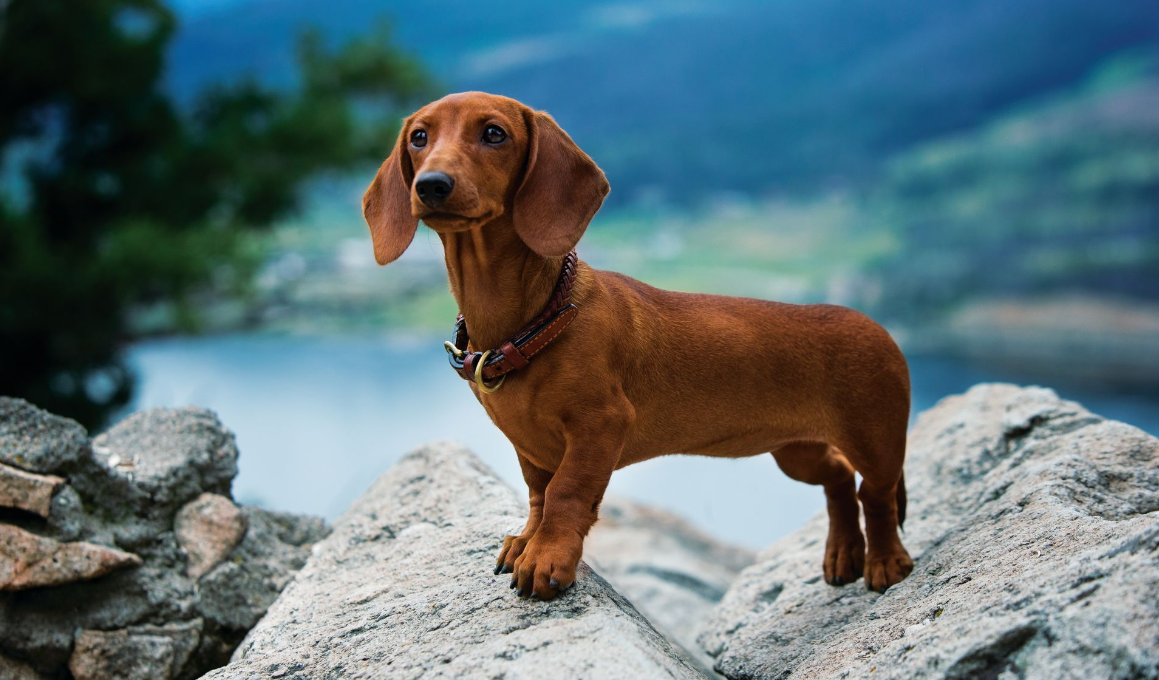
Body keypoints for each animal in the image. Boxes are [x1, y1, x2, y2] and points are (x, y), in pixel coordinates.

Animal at [363, 91, 913, 602]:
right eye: (419, 137)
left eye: (494, 133)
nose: (432, 185)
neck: (537, 319)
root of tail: (876, 326)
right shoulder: (530, 446)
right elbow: (539, 495)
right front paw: (527, 540)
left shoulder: (601, 426)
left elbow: (566, 494)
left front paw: (547, 556)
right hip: (796, 451)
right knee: (840, 478)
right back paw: (843, 553)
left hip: (875, 438)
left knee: (877, 494)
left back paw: (885, 562)